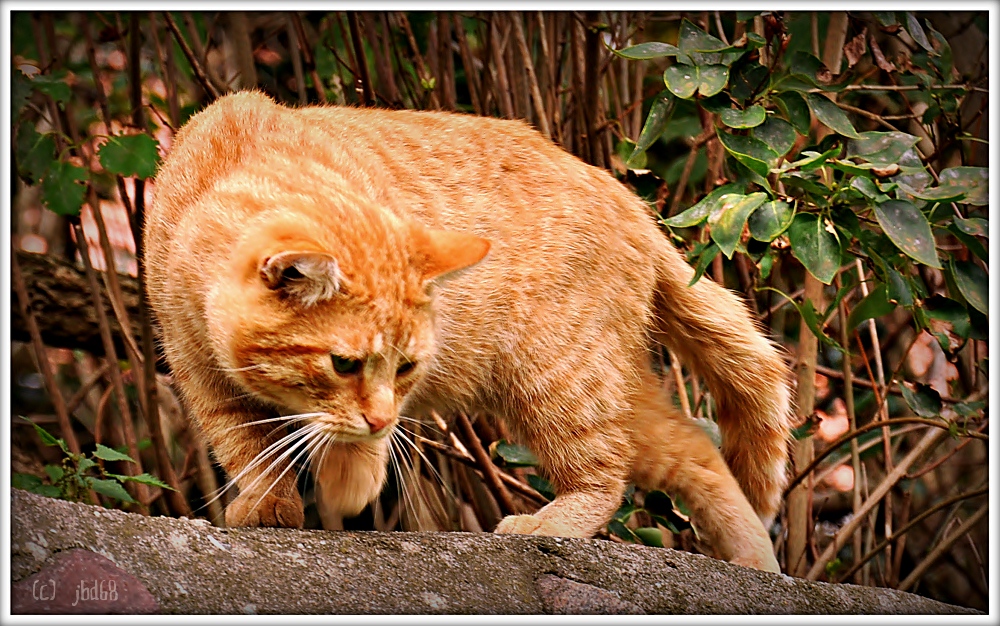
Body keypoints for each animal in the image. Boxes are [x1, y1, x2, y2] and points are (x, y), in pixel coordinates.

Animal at [145, 90, 792, 572]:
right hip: (609, 388)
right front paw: (267, 502)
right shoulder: (199, 376)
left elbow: (352, 447)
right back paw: (755, 563)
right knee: (696, 450)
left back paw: (549, 524)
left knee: (606, 472)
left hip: (559, 379)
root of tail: (627, 199)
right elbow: (246, 448)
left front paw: (349, 481)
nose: (378, 418)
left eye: (406, 368)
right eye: (344, 365)